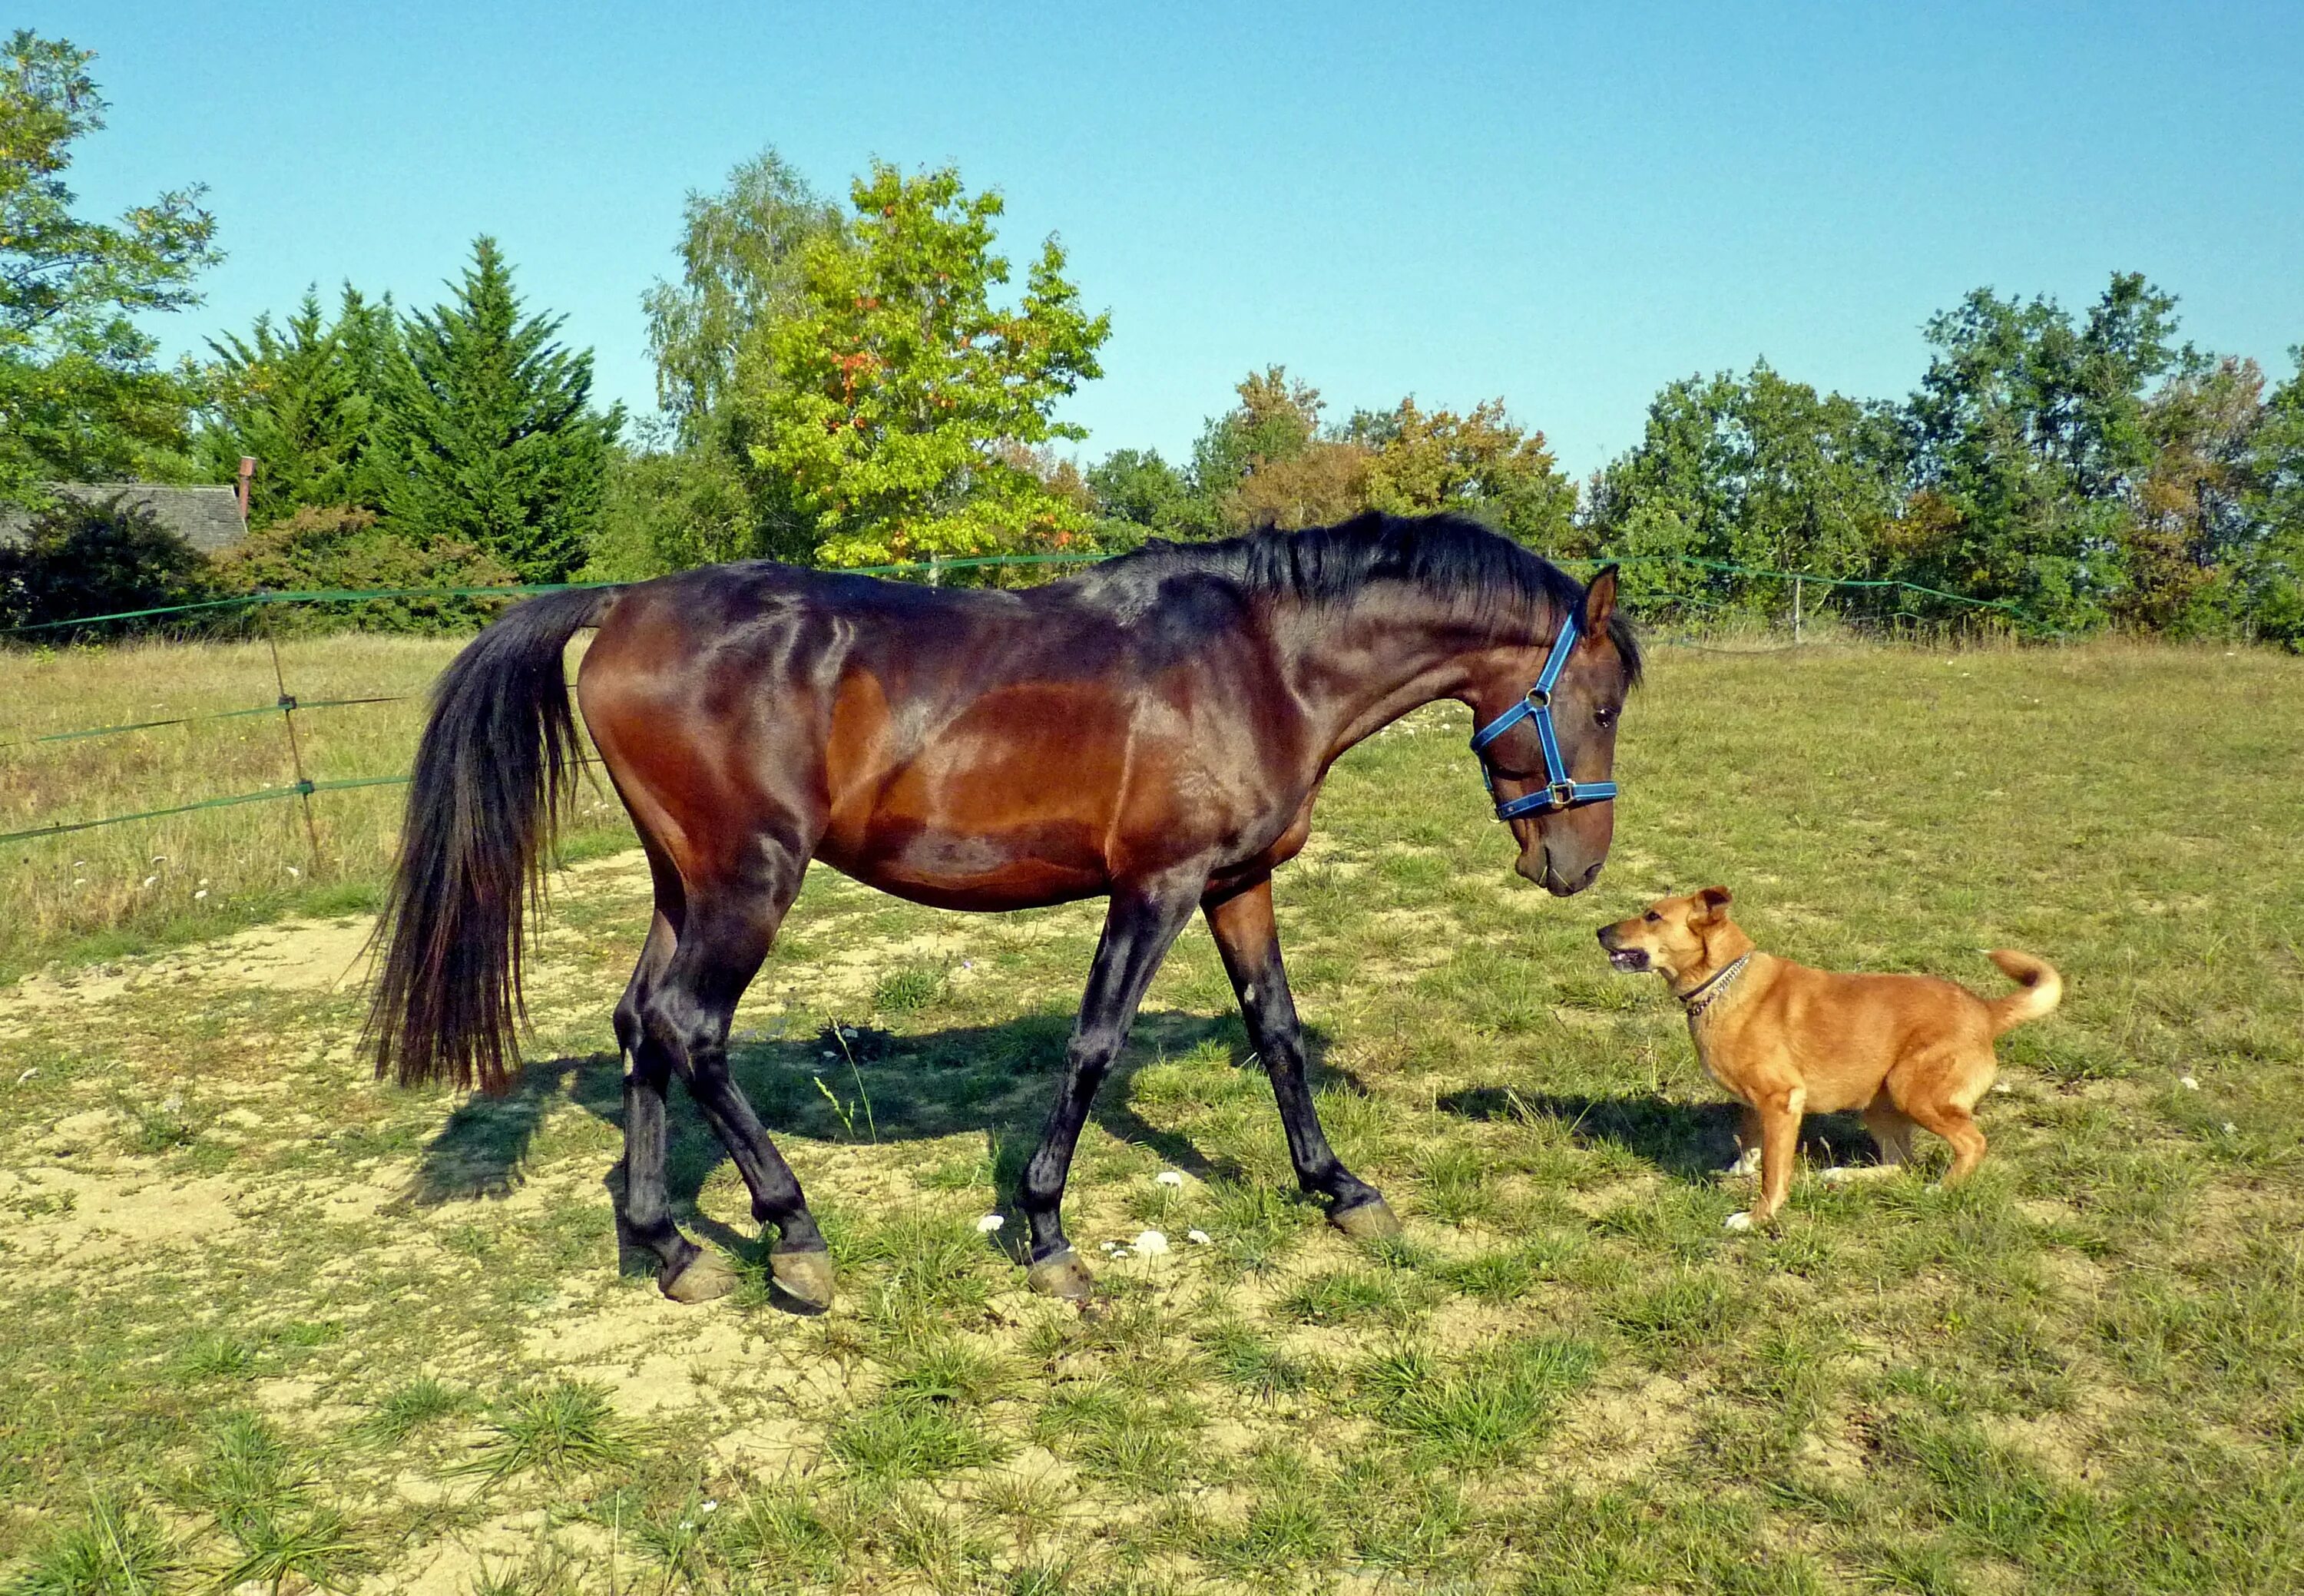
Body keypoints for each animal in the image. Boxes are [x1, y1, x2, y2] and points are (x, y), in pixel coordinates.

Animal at [369, 511, 1640, 1308]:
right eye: (1606, 702)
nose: (1574, 863)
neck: (1263, 661)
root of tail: (628, 603)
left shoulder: (1239, 882)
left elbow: (1274, 1031)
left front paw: (1343, 1191)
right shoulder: (1157, 886)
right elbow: (1091, 1048)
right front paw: (1048, 1237)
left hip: (686, 884)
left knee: (641, 1026)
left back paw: (672, 1247)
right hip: (748, 882)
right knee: (692, 1029)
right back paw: (795, 1236)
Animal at [1594, 889, 2064, 1225]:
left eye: (1652, 916)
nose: (1599, 931)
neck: (1723, 982)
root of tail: (1985, 1011)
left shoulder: (1781, 1101)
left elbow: (1773, 1173)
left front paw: (1757, 1218)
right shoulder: (1754, 1103)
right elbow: (1748, 1142)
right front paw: (1739, 1170)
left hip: (1914, 1091)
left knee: (1971, 1143)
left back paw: (1941, 1190)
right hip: (1878, 1104)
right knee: (1902, 1164)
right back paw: (1843, 1176)